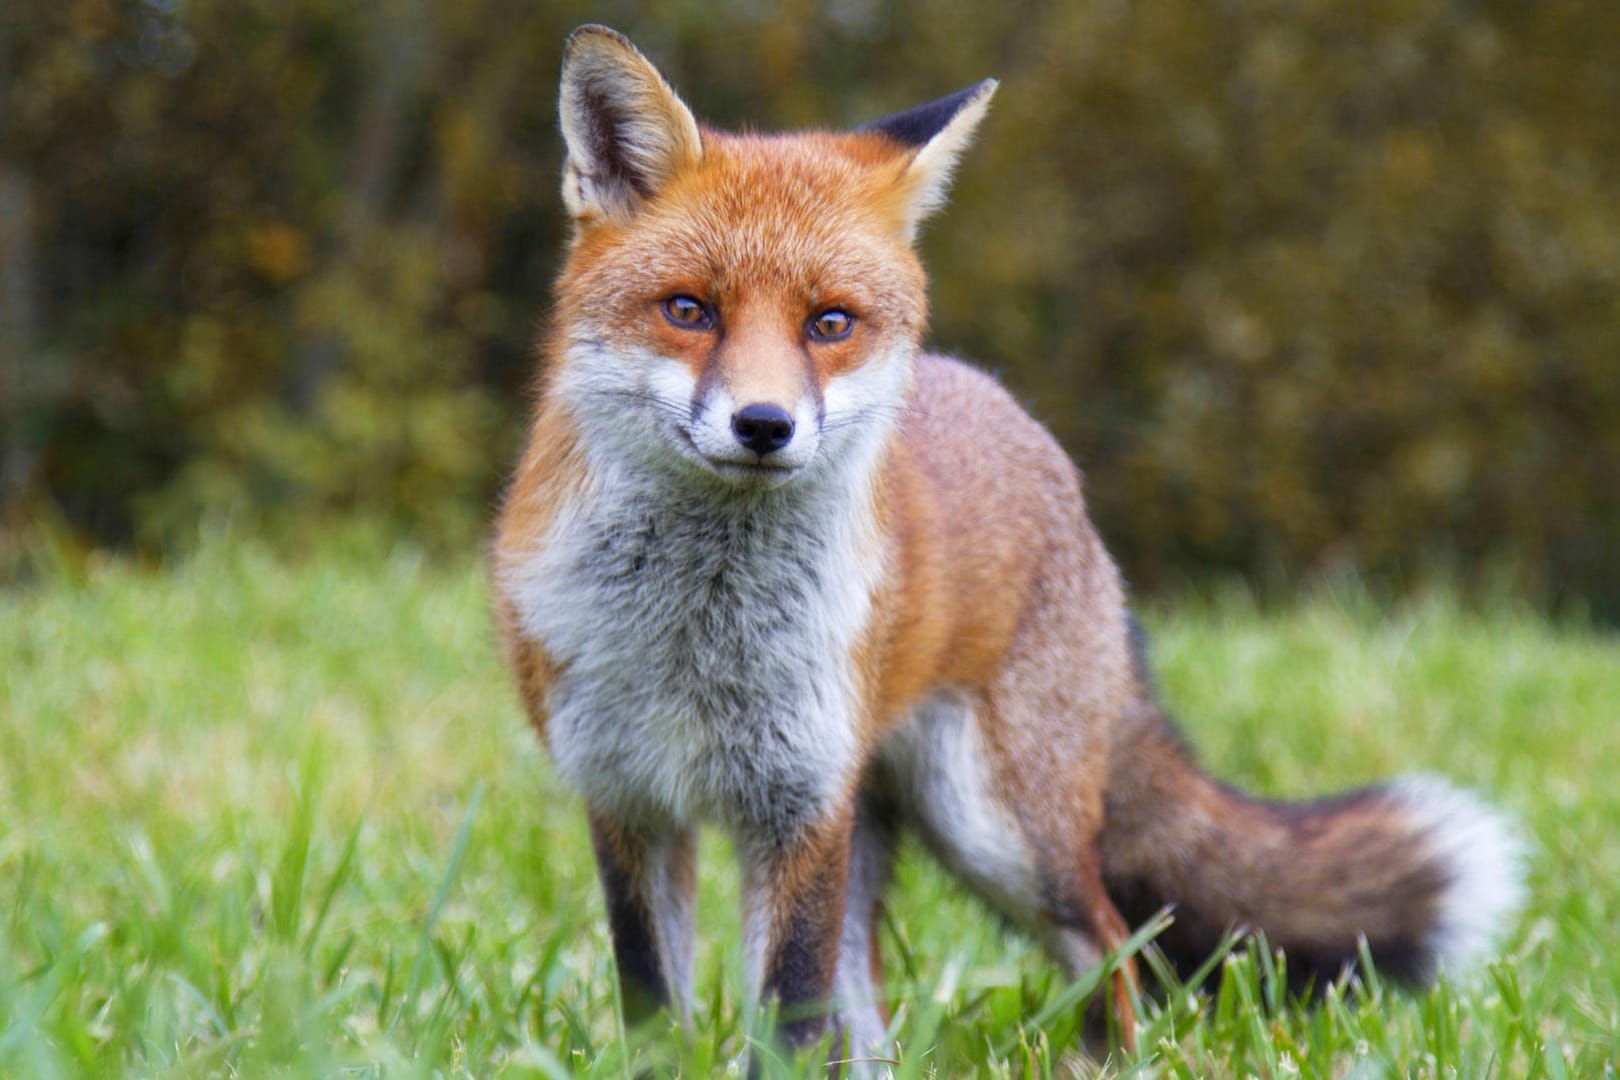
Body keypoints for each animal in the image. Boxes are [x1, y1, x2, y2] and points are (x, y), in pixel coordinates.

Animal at [489, 25, 1516, 1075]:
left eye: (830, 322)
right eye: (689, 310)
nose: (765, 425)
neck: (699, 630)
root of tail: (1024, 423)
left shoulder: (801, 801)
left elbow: (789, 1017)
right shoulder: (629, 798)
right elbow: (657, 1004)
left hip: (996, 827)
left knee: (1113, 943)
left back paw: (1106, 1061)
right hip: (893, 822)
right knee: (874, 999)